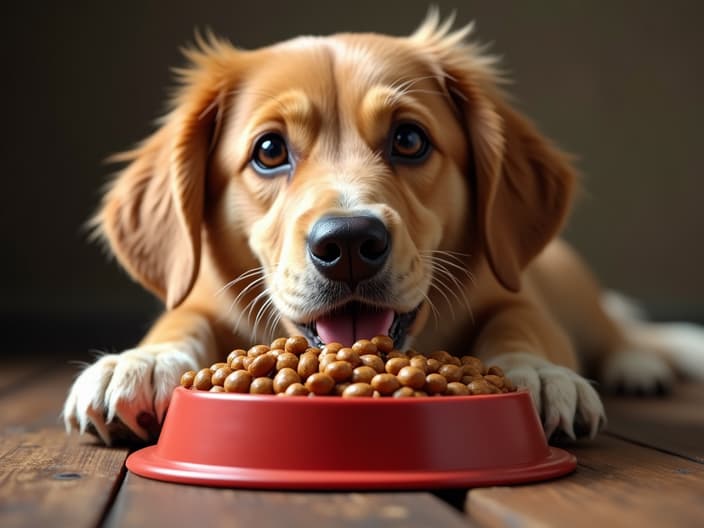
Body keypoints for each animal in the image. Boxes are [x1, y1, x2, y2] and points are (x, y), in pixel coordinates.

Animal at [63, 11, 700, 446]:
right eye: (269, 151)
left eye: (410, 139)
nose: (347, 243)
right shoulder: (200, 296)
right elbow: (180, 320)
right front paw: (140, 364)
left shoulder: (517, 296)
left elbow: (521, 323)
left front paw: (538, 375)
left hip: (569, 281)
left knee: (618, 332)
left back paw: (638, 364)